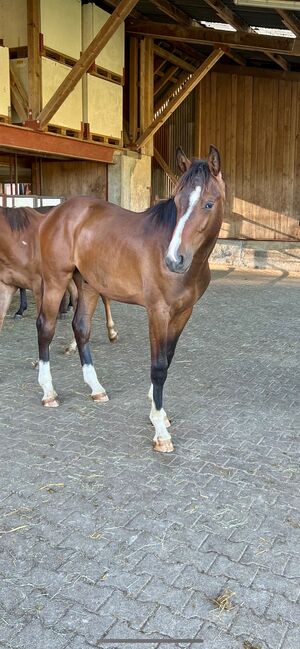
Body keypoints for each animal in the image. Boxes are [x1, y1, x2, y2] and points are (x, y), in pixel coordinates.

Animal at [36, 146, 225, 450]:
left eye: (208, 204)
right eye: (177, 201)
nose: (174, 260)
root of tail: (56, 213)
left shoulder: (184, 312)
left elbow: (168, 358)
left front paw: (157, 411)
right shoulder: (157, 311)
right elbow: (158, 366)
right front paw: (160, 429)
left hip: (88, 284)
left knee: (81, 328)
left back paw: (96, 389)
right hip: (55, 281)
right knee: (46, 328)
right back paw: (49, 392)